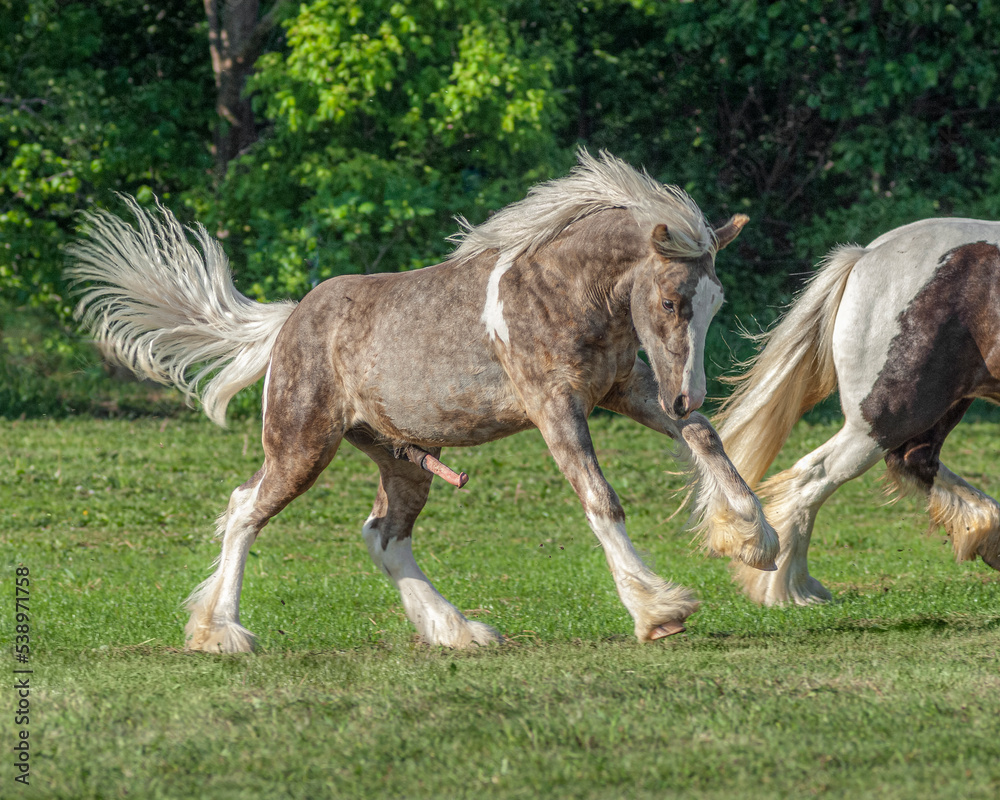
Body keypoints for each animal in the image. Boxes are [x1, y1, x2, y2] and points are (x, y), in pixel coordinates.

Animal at [67, 150, 778, 652]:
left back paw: (458, 630)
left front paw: (757, 542)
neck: (560, 289)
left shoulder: (623, 389)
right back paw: (221, 633)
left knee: (383, 535)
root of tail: (290, 321)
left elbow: (705, 437)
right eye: (671, 302)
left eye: (714, 302)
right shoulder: (555, 406)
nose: (686, 393)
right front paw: (659, 612)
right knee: (245, 510)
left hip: (402, 456)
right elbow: (601, 499)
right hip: (301, 445)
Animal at [715, 217, 1000, 605]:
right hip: (888, 416)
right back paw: (790, 592)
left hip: (935, 407)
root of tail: (866, 255)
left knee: (914, 459)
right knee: (814, 477)